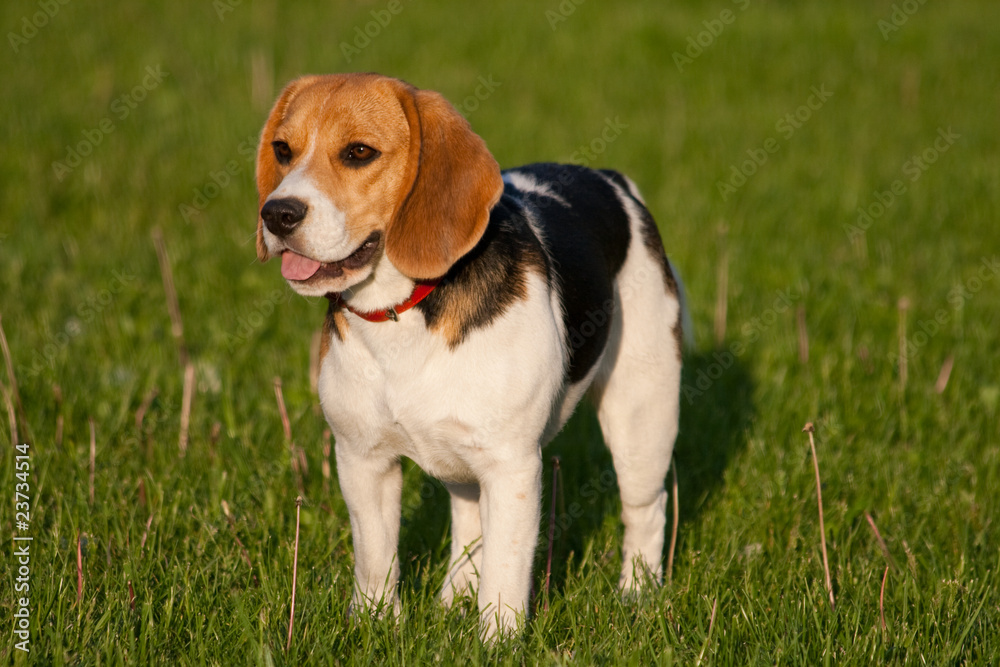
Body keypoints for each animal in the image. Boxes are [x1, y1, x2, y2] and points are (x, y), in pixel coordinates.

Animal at [254, 74, 684, 640]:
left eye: (358, 153)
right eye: (283, 150)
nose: (277, 213)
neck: (402, 313)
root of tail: (611, 182)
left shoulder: (512, 466)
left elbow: (505, 566)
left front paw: (496, 640)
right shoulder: (362, 458)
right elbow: (375, 555)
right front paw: (376, 625)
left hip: (641, 416)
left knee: (645, 508)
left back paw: (637, 593)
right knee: (468, 521)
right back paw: (452, 597)